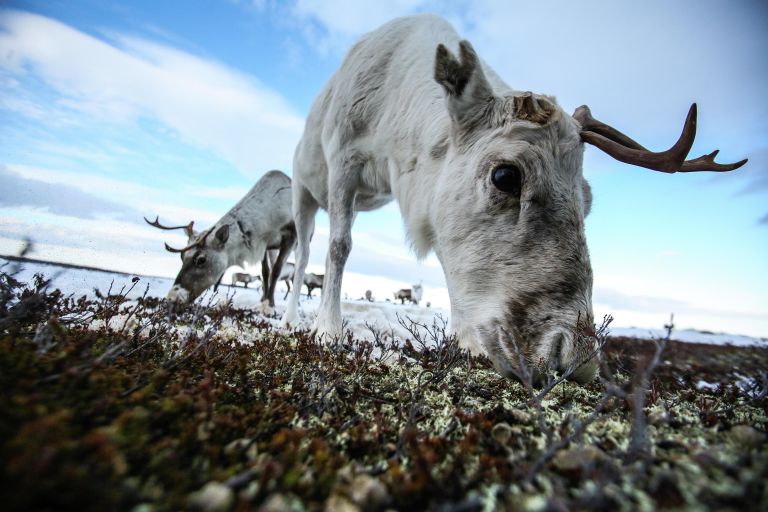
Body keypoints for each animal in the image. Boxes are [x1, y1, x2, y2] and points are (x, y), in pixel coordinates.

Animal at [146, 170, 296, 312]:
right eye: (182, 256)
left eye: (201, 259)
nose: (172, 298)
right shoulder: (264, 245)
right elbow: (265, 272)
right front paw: (263, 302)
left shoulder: (290, 237)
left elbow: (276, 271)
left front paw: (269, 306)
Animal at [280, 14, 746, 384]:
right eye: (506, 175)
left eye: (588, 199)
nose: (575, 359)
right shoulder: (345, 160)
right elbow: (339, 247)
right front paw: (328, 330)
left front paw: (464, 341)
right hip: (304, 193)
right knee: (302, 255)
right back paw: (287, 317)